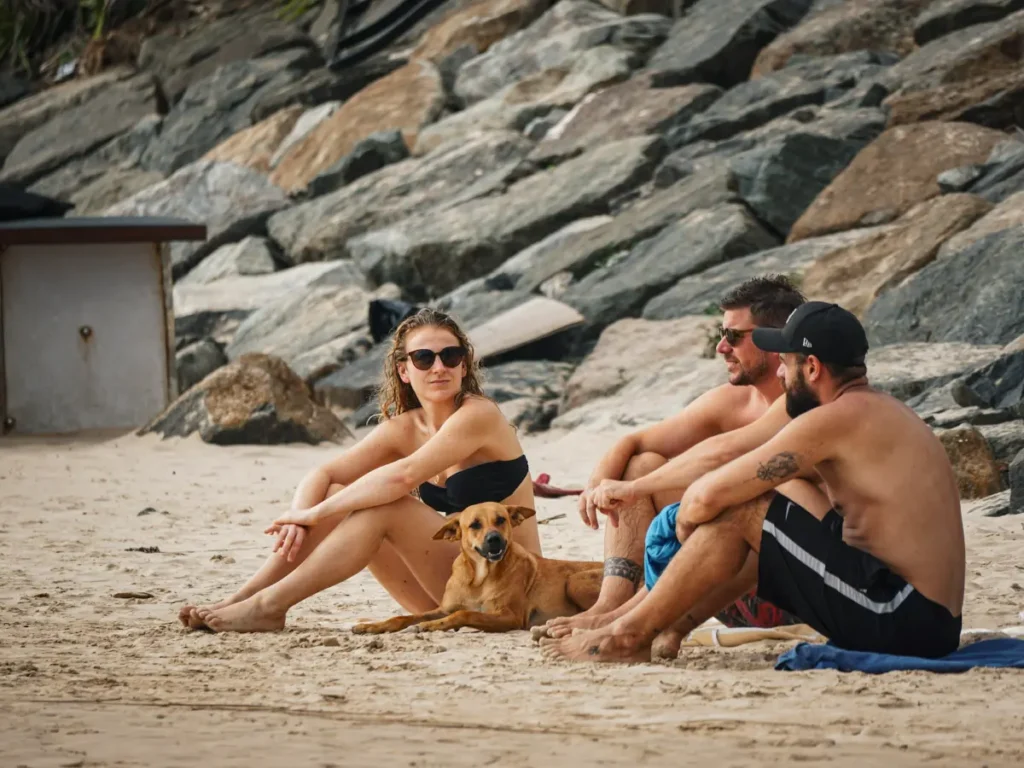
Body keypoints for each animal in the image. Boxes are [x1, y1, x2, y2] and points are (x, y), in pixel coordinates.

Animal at [356, 501, 602, 634]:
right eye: (474, 525)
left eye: (501, 519)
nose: (494, 539)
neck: (480, 577)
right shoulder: (444, 608)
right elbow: (404, 617)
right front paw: (373, 626)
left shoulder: (509, 616)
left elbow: (465, 613)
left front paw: (432, 626)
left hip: (575, 581)